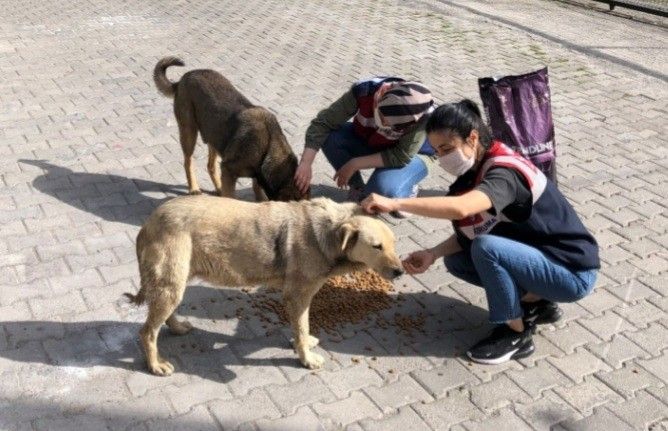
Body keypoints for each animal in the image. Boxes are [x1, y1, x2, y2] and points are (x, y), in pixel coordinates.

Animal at [128, 194, 404, 376]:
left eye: (393, 243)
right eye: (376, 246)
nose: (400, 271)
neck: (328, 233)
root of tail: (149, 222)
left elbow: (301, 327)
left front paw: (303, 344)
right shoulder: (297, 296)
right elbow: (301, 328)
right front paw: (305, 357)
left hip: (176, 281)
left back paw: (176, 327)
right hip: (171, 283)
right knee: (147, 332)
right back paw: (155, 364)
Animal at [153, 56, 306, 202]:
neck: (268, 148)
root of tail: (183, 79)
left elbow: (257, 188)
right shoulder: (228, 170)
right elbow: (232, 196)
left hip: (214, 136)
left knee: (210, 166)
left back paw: (218, 188)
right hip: (189, 132)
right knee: (188, 161)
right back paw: (194, 189)